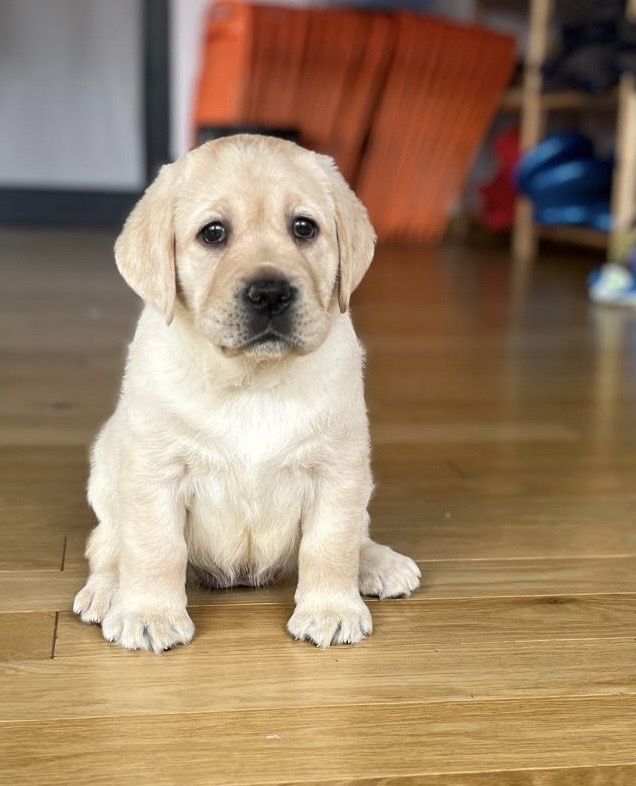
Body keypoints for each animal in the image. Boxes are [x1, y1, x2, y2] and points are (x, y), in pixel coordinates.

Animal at [74, 133, 420, 648]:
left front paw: (331, 609)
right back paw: (107, 591)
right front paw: (149, 613)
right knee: (108, 546)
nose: (270, 294)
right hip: (107, 469)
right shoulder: (156, 469)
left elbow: (331, 544)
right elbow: (155, 547)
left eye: (304, 228)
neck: (253, 379)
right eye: (213, 233)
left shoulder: (337, 467)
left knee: (357, 533)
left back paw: (377, 563)